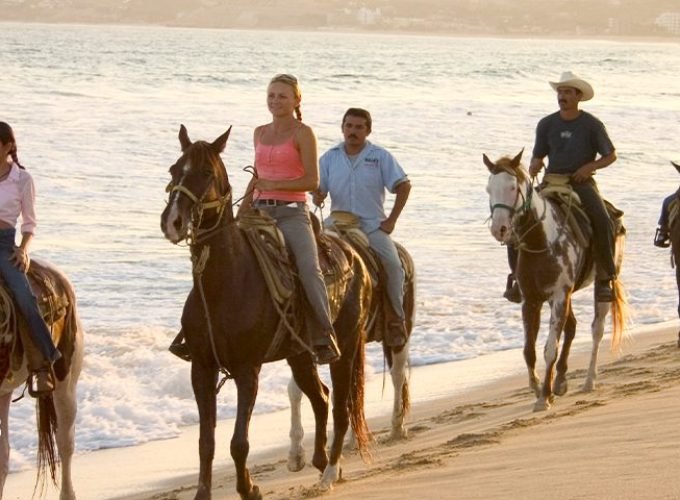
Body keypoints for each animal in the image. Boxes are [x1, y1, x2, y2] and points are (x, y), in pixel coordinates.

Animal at [160, 125, 372, 500]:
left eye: (206, 173)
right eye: (174, 169)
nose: (173, 221)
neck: (226, 281)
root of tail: (355, 256)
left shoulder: (248, 369)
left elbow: (238, 443)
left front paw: (250, 489)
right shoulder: (201, 368)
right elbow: (206, 442)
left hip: (345, 348)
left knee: (341, 408)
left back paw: (330, 472)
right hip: (300, 355)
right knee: (320, 397)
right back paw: (318, 459)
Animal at [484, 150, 628, 412]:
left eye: (512, 187)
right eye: (489, 188)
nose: (499, 228)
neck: (542, 239)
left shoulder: (560, 294)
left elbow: (550, 348)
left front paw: (544, 397)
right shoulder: (532, 299)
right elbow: (529, 350)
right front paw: (538, 387)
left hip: (600, 283)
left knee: (597, 330)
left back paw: (589, 381)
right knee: (571, 328)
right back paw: (560, 380)